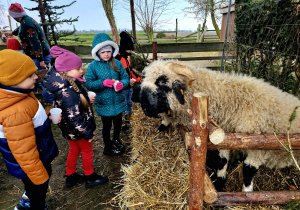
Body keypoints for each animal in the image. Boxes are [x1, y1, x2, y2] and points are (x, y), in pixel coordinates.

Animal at [139, 59, 300, 192]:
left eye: (162, 82)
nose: (144, 107)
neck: (234, 103)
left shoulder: (260, 144)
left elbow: (248, 169)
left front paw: (246, 193)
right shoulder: (227, 136)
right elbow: (223, 160)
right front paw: (220, 181)